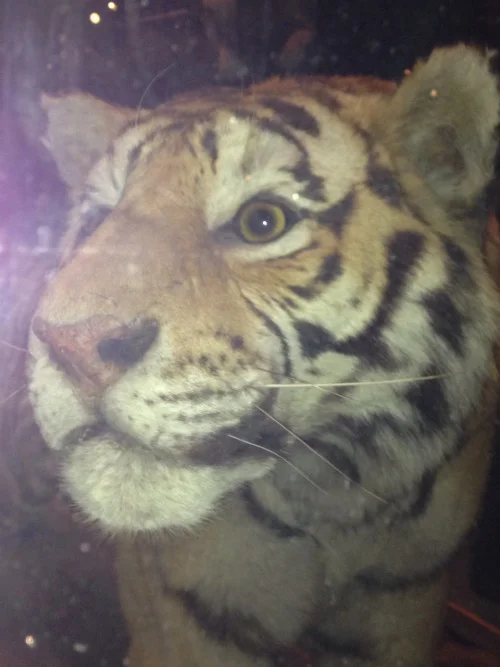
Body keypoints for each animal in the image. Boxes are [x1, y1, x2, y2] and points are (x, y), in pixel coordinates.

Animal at [27, 44, 500, 666]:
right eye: (99, 221)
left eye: (262, 222)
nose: (73, 345)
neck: (334, 488)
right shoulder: (193, 616)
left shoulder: (406, 599)